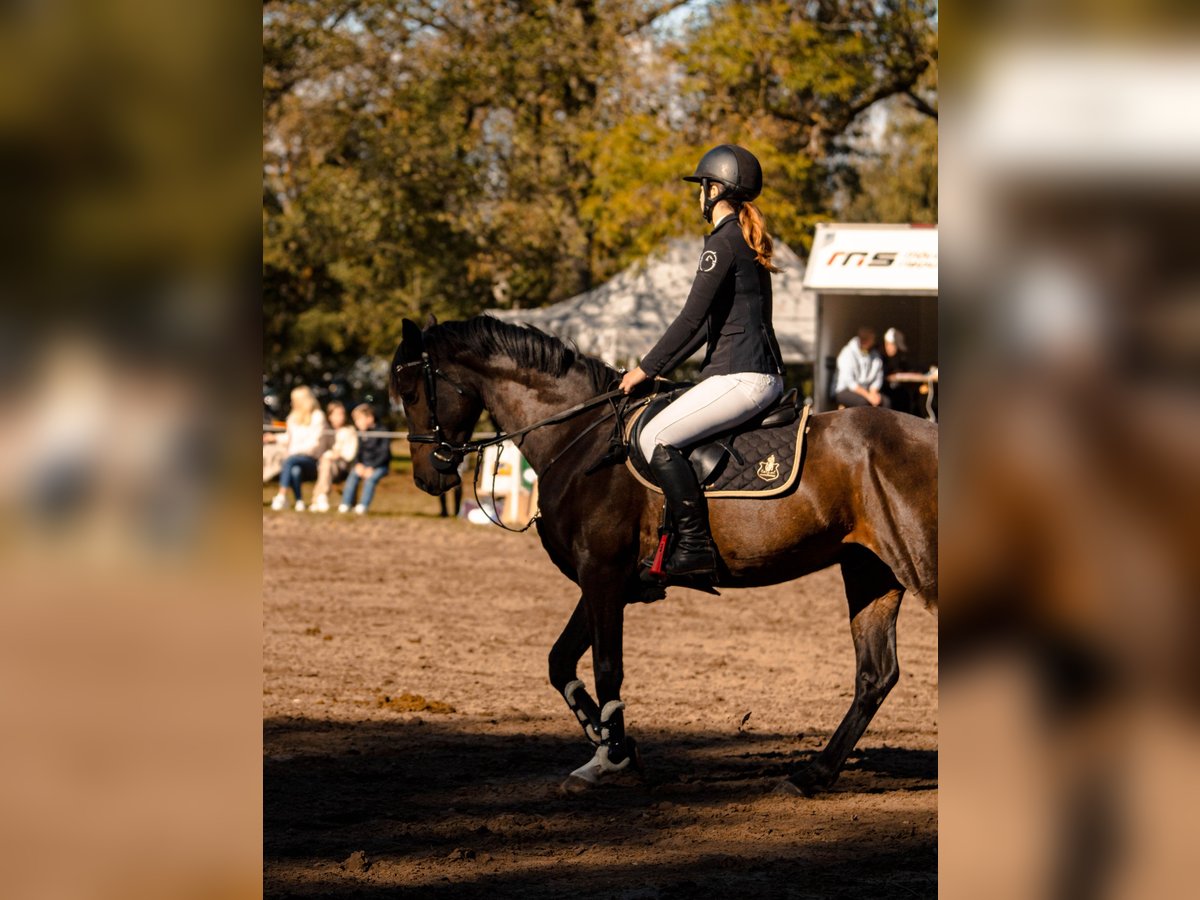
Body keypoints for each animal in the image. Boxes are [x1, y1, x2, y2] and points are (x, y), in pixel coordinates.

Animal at [393, 314, 936, 796]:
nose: (427, 477)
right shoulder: (606, 580)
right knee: (875, 675)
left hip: (917, 565)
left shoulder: (602, 576)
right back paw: (812, 776)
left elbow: (606, 667)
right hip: (870, 570)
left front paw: (611, 756)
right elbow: (560, 662)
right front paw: (612, 745)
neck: (580, 437)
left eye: (413, 392)